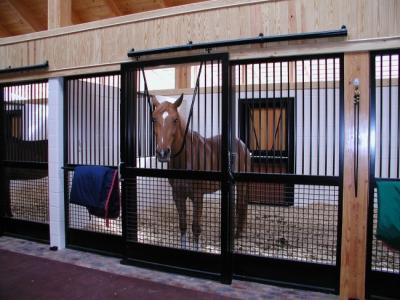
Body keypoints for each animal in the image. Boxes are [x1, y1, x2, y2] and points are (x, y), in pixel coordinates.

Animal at [150, 93, 250, 248]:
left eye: (175, 119)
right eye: (154, 119)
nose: (162, 153)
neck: (185, 158)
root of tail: (242, 145)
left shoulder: (198, 195)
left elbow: (195, 226)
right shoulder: (177, 195)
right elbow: (183, 225)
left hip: (242, 184)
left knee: (241, 205)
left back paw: (236, 235)